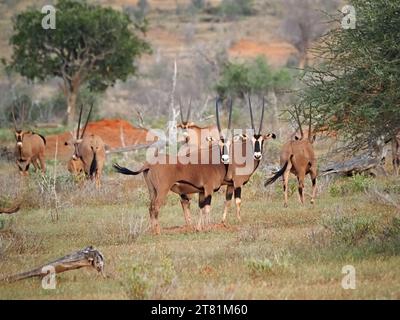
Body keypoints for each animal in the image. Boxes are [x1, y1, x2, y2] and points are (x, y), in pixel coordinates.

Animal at [112, 98, 233, 235]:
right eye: (220, 144)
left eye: (230, 144)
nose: (225, 158)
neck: (214, 162)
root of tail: (149, 164)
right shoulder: (208, 189)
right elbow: (207, 209)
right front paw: (208, 228)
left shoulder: (202, 191)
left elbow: (201, 208)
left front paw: (199, 228)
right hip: (162, 190)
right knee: (156, 207)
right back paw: (158, 232)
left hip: (152, 190)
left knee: (150, 207)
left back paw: (153, 231)